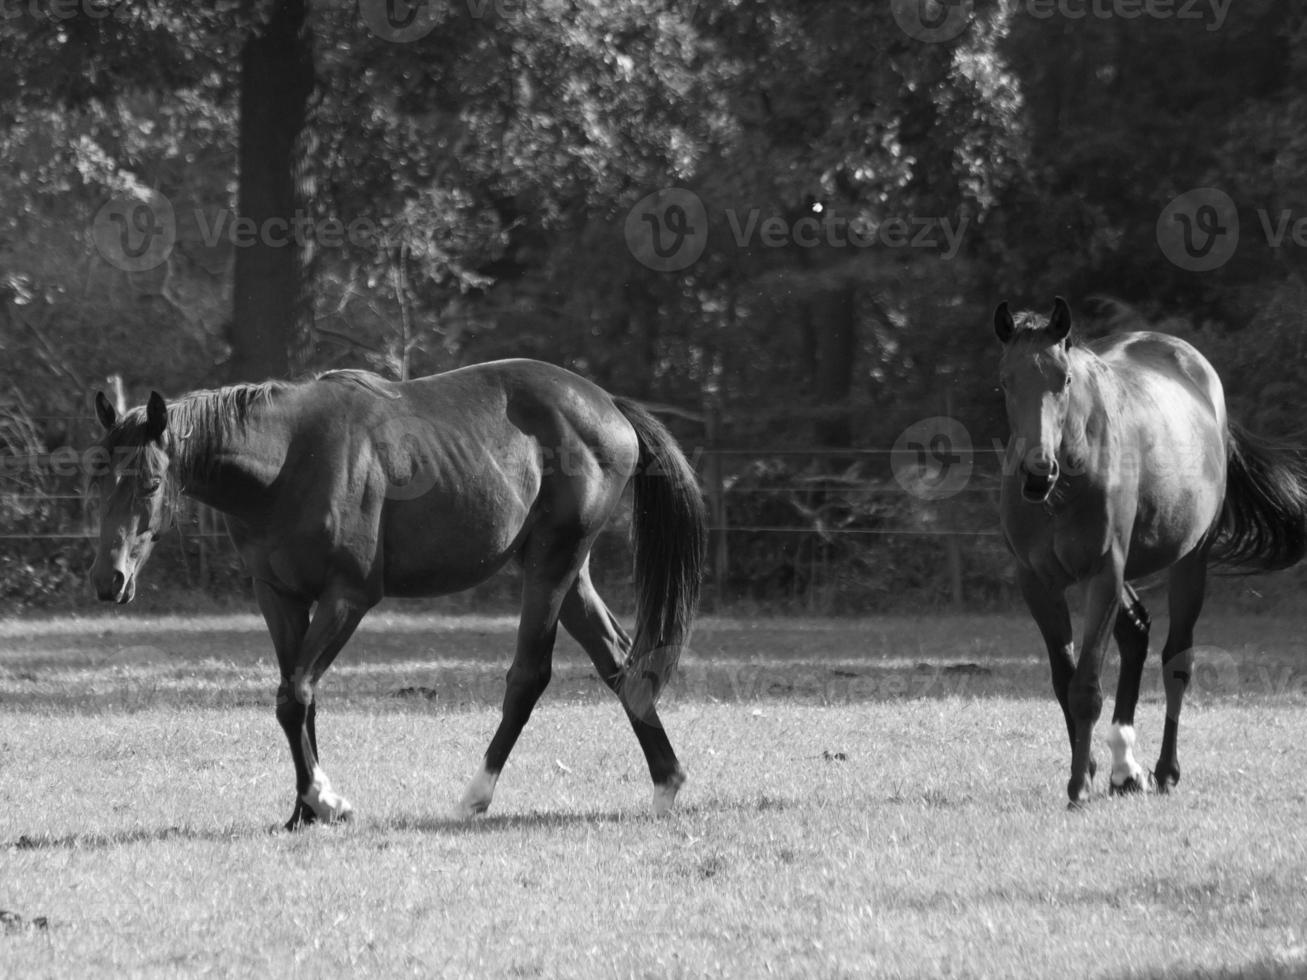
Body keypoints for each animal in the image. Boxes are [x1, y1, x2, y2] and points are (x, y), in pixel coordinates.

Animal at [85, 358, 705, 831]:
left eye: (151, 483)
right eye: (95, 480)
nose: (107, 580)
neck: (290, 459)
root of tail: (608, 406)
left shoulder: (347, 598)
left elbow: (295, 695)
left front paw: (325, 800)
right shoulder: (280, 597)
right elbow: (298, 698)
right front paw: (304, 812)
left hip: (552, 567)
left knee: (529, 677)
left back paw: (475, 797)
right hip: (568, 575)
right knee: (622, 666)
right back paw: (666, 784)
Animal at [993, 297, 1301, 804]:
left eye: (1065, 379)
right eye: (1005, 381)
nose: (1038, 472)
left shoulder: (1103, 573)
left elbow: (1085, 687)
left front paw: (1078, 786)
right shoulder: (1036, 582)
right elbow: (1063, 679)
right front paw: (1090, 768)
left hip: (1189, 562)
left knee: (1177, 660)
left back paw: (1163, 770)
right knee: (1136, 631)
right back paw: (1124, 769)